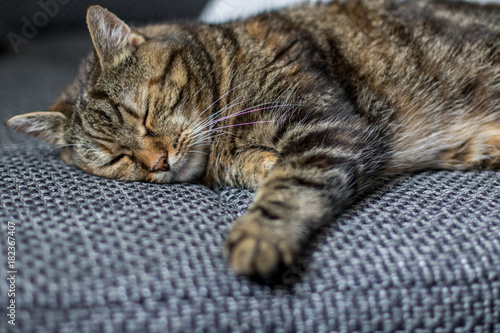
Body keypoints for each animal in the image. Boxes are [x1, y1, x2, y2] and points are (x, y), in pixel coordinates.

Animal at [4, 0, 500, 280]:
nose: (158, 162)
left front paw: (259, 236)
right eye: (116, 159)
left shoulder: (327, 125)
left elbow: (290, 186)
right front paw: (257, 163)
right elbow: (257, 168)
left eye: (144, 114)